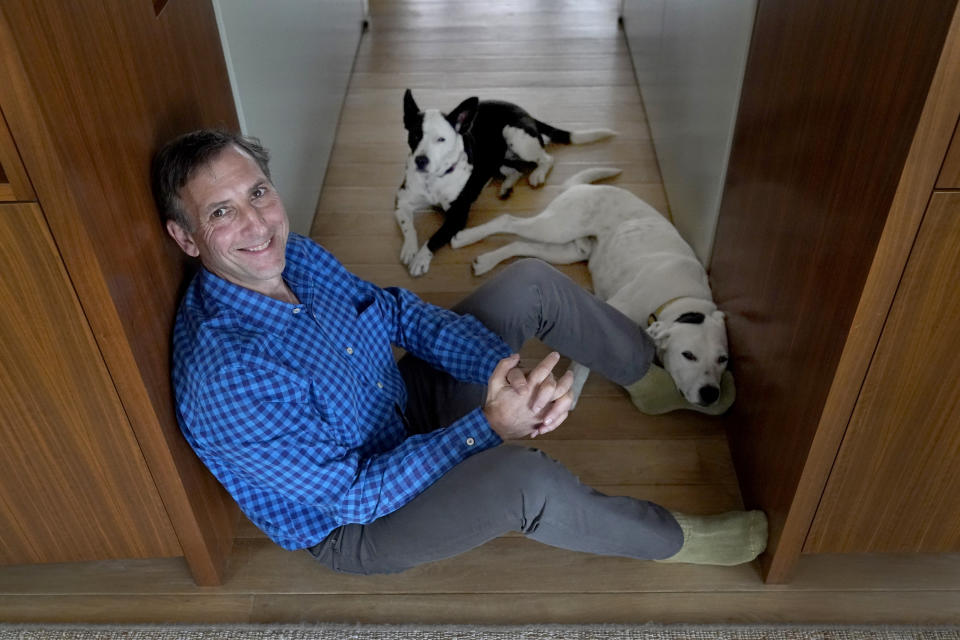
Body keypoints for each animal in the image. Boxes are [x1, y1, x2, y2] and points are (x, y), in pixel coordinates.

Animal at [396, 90, 616, 278]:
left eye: (441, 139)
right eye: (415, 135)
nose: (420, 160)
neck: (433, 178)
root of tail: (524, 111)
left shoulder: (458, 216)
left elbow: (436, 237)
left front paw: (421, 258)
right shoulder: (402, 201)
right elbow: (408, 225)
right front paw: (409, 249)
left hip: (515, 137)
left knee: (546, 157)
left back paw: (537, 174)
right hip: (499, 157)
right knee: (514, 170)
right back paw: (507, 186)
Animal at [450, 170, 728, 408]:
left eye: (723, 360)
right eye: (688, 355)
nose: (711, 393)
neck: (679, 297)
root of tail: (584, 187)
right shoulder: (608, 316)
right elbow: (586, 360)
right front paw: (570, 394)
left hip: (567, 251)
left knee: (521, 245)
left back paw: (486, 261)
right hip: (557, 228)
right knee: (508, 221)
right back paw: (464, 237)